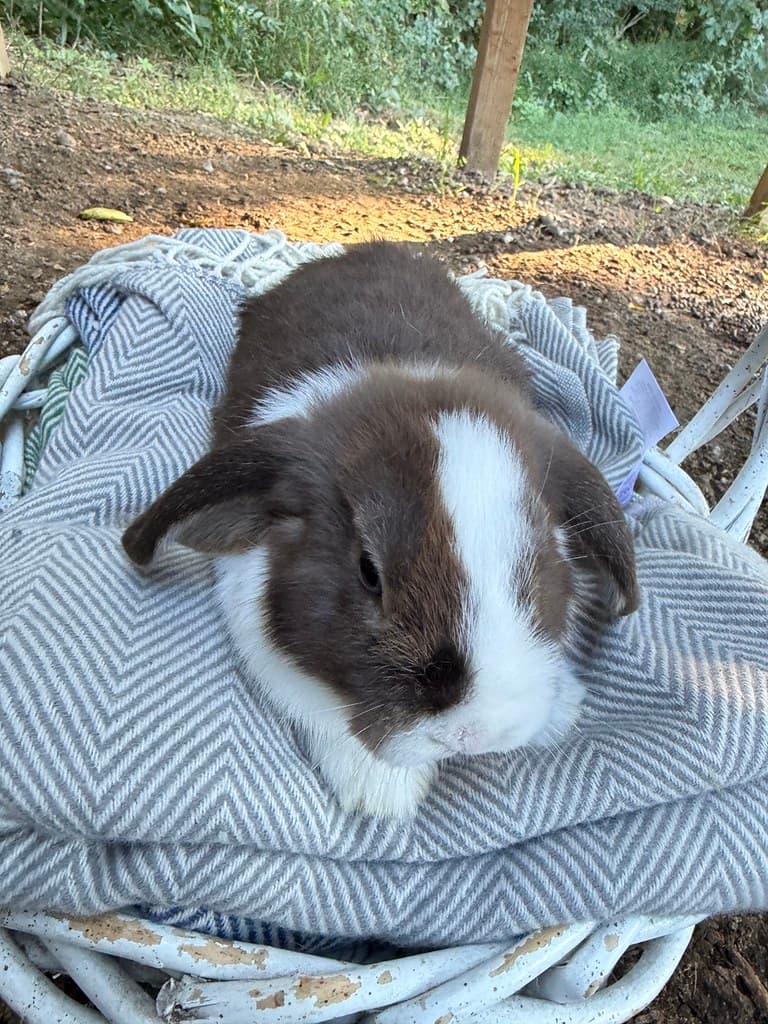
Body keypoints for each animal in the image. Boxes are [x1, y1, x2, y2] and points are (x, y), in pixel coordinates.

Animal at [122, 242, 639, 820]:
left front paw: (562, 710)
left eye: (545, 554)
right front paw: (379, 793)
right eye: (370, 572)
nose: (474, 735)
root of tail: (361, 251)